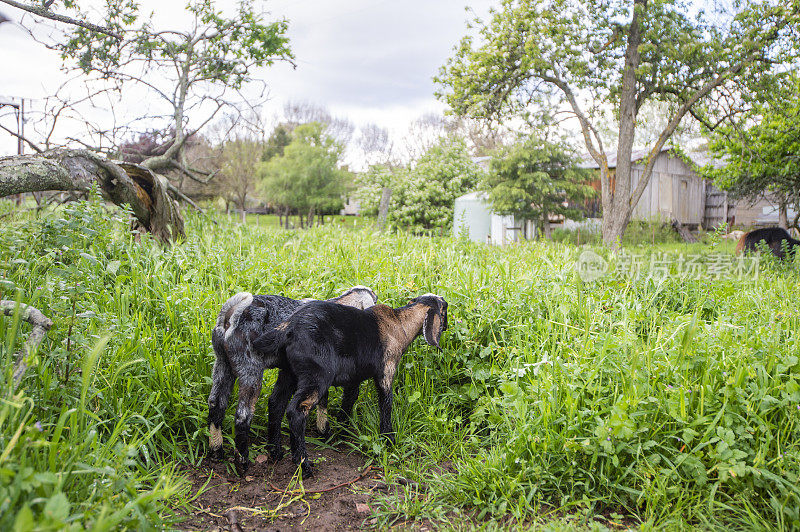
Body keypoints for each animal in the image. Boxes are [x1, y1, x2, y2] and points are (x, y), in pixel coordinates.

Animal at [209, 284, 378, 472]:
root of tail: (230, 318)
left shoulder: (303, 373)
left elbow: (309, 402)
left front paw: (321, 432)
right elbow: (346, 402)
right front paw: (338, 433)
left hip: (223, 365)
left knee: (216, 405)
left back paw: (216, 451)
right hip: (250, 370)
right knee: (242, 416)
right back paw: (242, 463)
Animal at [253, 296, 446, 478]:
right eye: (445, 309)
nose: (446, 326)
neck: (400, 323)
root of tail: (289, 329)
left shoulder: (354, 378)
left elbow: (349, 401)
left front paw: (342, 433)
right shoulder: (387, 370)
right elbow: (386, 404)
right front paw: (388, 438)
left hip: (289, 372)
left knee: (276, 403)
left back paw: (276, 451)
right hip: (316, 376)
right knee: (297, 411)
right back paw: (304, 466)